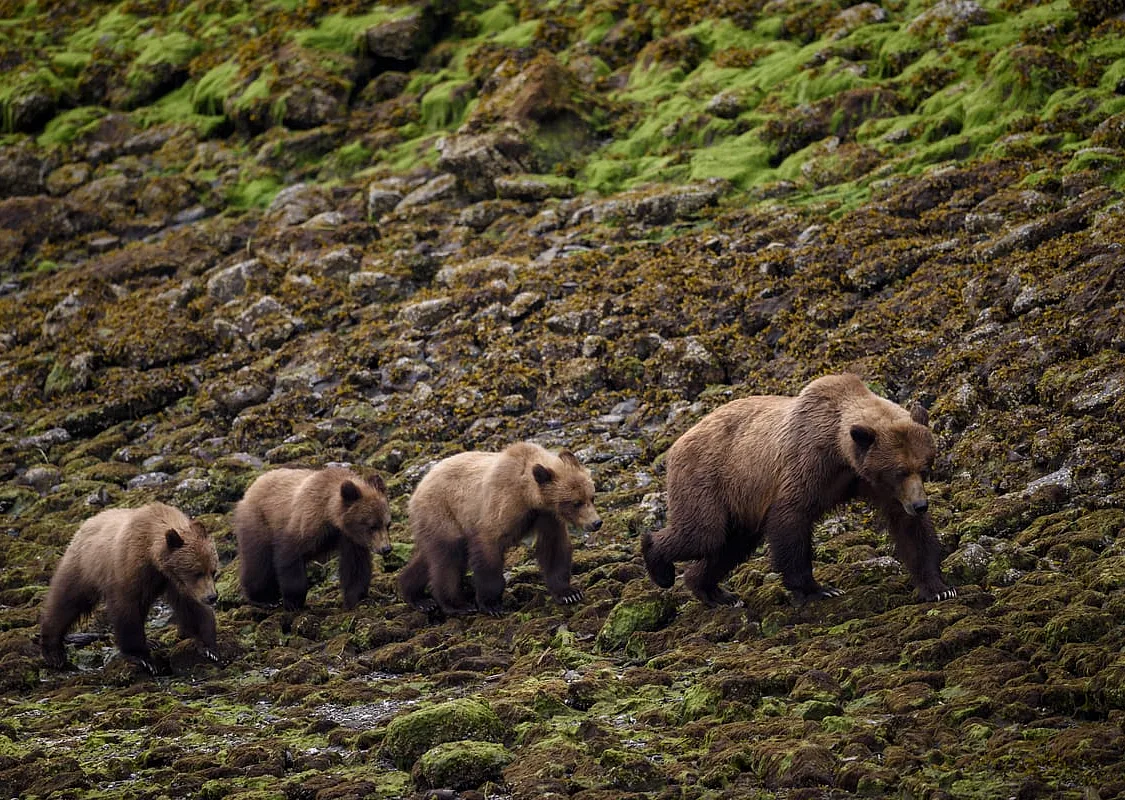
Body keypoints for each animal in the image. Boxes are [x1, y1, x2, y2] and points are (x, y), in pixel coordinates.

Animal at [40, 502, 220, 674]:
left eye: (212, 570)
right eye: (197, 572)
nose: (212, 597)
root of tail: (86, 523)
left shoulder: (173, 581)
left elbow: (192, 607)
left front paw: (209, 648)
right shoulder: (129, 569)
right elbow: (127, 609)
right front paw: (143, 658)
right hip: (83, 568)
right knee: (66, 601)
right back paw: (53, 652)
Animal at [233, 466, 391, 611]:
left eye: (387, 524)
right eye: (372, 526)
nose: (386, 548)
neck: (330, 516)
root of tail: (252, 487)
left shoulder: (350, 538)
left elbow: (355, 566)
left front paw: (356, 598)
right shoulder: (304, 524)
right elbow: (289, 558)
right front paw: (294, 602)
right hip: (259, 522)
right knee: (258, 562)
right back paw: (264, 598)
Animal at [398, 442, 601, 616]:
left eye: (592, 497)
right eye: (576, 502)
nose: (596, 523)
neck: (528, 496)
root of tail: (417, 489)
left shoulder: (547, 516)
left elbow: (554, 548)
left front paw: (569, 593)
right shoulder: (501, 506)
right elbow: (488, 550)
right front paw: (492, 604)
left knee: (428, 559)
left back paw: (418, 597)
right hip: (442, 513)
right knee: (449, 558)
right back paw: (456, 605)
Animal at [642, 373, 956, 606]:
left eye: (924, 467)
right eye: (899, 471)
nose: (920, 505)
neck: (842, 453)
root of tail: (678, 440)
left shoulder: (874, 483)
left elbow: (909, 529)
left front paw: (939, 587)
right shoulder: (809, 461)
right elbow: (791, 517)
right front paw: (818, 589)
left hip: (739, 502)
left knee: (731, 544)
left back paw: (715, 592)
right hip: (709, 479)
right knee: (703, 534)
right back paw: (660, 566)